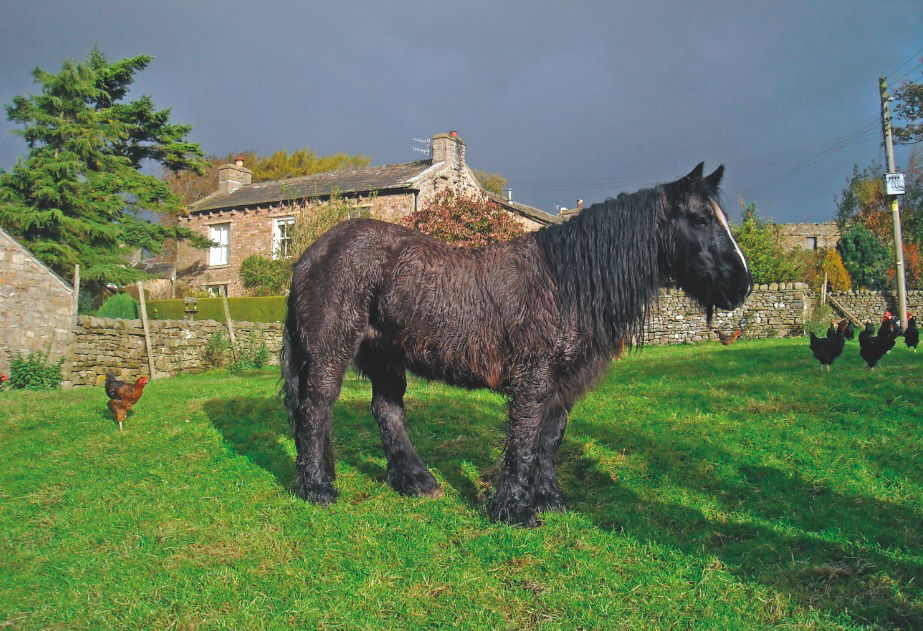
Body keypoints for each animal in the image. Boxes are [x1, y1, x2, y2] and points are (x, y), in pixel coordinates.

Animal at [282, 164, 752, 528]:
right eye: (700, 220)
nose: (743, 286)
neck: (567, 281)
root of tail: (313, 252)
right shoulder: (533, 378)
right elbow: (524, 439)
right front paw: (514, 510)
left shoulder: (563, 385)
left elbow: (549, 440)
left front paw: (548, 500)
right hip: (331, 351)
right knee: (315, 409)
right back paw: (319, 488)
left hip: (386, 355)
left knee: (386, 411)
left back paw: (417, 482)